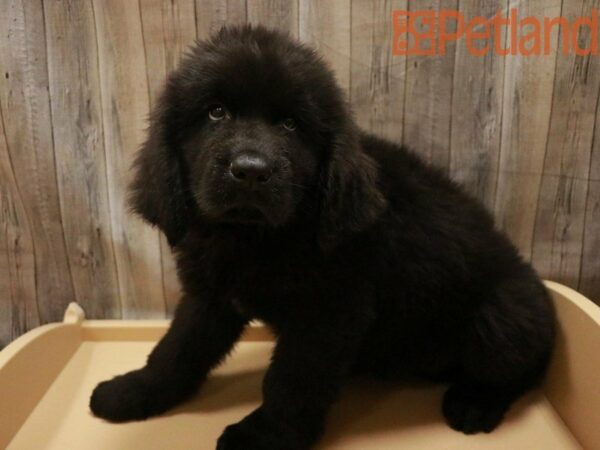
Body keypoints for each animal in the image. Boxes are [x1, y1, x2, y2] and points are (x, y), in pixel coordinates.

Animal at [90, 25, 556, 450]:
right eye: (215, 112)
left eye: (291, 124)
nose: (251, 170)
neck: (255, 236)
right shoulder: (211, 295)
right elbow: (177, 348)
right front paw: (133, 391)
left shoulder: (327, 315)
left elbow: (291, 380)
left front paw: (265, 436)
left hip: (502, 317)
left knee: (524, 368)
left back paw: (476, 403)